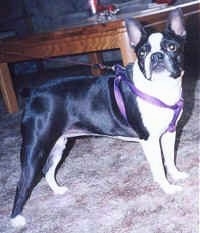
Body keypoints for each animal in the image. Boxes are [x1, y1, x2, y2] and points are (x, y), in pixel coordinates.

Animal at [11, 9, 189, 228]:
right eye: (142, 52)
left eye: (172, 47)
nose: (156, 56)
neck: (160, 89)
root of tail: (34, 92)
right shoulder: (150, 140)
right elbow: (159, 167)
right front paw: (167, 187)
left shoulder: (169, 134)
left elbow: (170, 159)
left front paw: (176, 175)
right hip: (36, 147)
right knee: (23, 182)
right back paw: (16, 219)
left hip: (58, 143)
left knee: (47, 170)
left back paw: (58, 190)